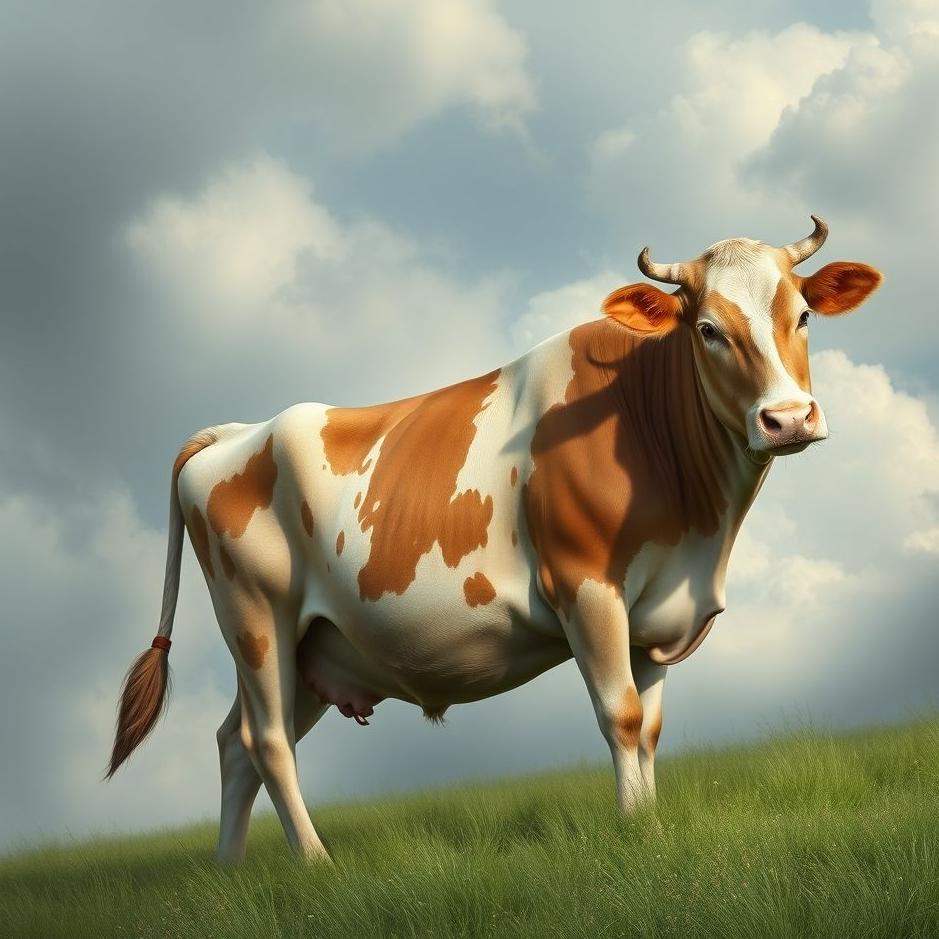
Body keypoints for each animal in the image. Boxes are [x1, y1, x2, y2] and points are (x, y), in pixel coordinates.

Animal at [107, 217, 881, 862]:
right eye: (709, 330)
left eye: (802, 315)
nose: (787, 418)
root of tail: (237, 431)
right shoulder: (585, 587)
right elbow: (622, 715)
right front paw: (637, 833)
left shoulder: (657, 613)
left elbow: (651, 727)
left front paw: (653, 826)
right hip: (255, 617)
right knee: (264, 743)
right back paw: (316, 865)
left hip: (314, 647)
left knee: (234, 745)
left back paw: (232, 872)